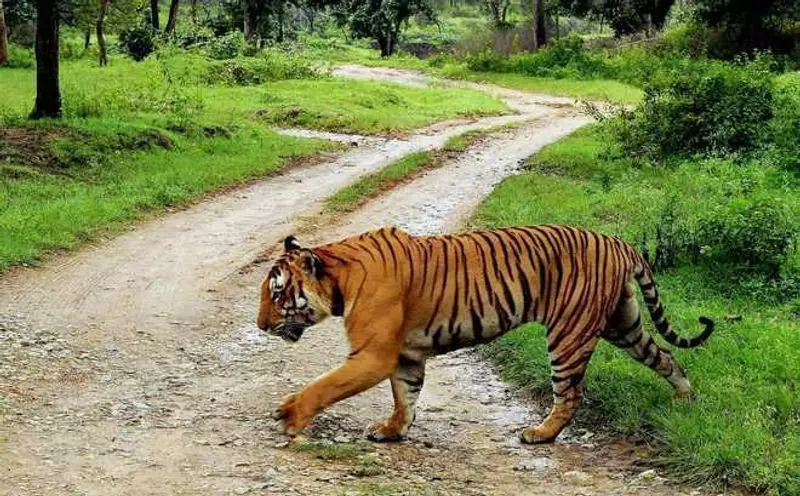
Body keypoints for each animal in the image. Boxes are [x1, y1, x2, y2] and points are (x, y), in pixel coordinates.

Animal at [257, 224, 714, 444]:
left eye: (277, 293)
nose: (260, 325)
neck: (340, 277)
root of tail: (619, 242)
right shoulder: (405, 356)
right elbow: (406, 396)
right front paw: (393, 431)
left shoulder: (373, 356)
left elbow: (324, 386)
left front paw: (290, 415)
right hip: (625, 324)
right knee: (666, 357)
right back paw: (685, 399)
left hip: (569, 333)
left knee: (570, 394)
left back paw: (541, 434)